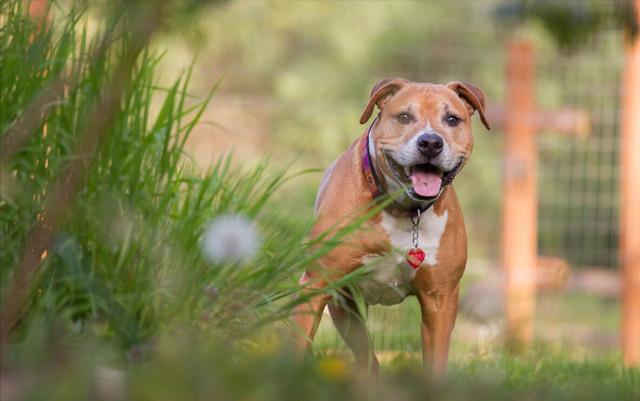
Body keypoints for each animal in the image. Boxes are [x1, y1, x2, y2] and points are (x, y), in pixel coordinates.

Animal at [292, 78, 492, 376]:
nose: (430, 142)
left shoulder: (440, 300)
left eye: (452, 119)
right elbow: (295, 343)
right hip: (345, 307)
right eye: (404, 117)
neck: (406, 211)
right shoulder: (317, 283)